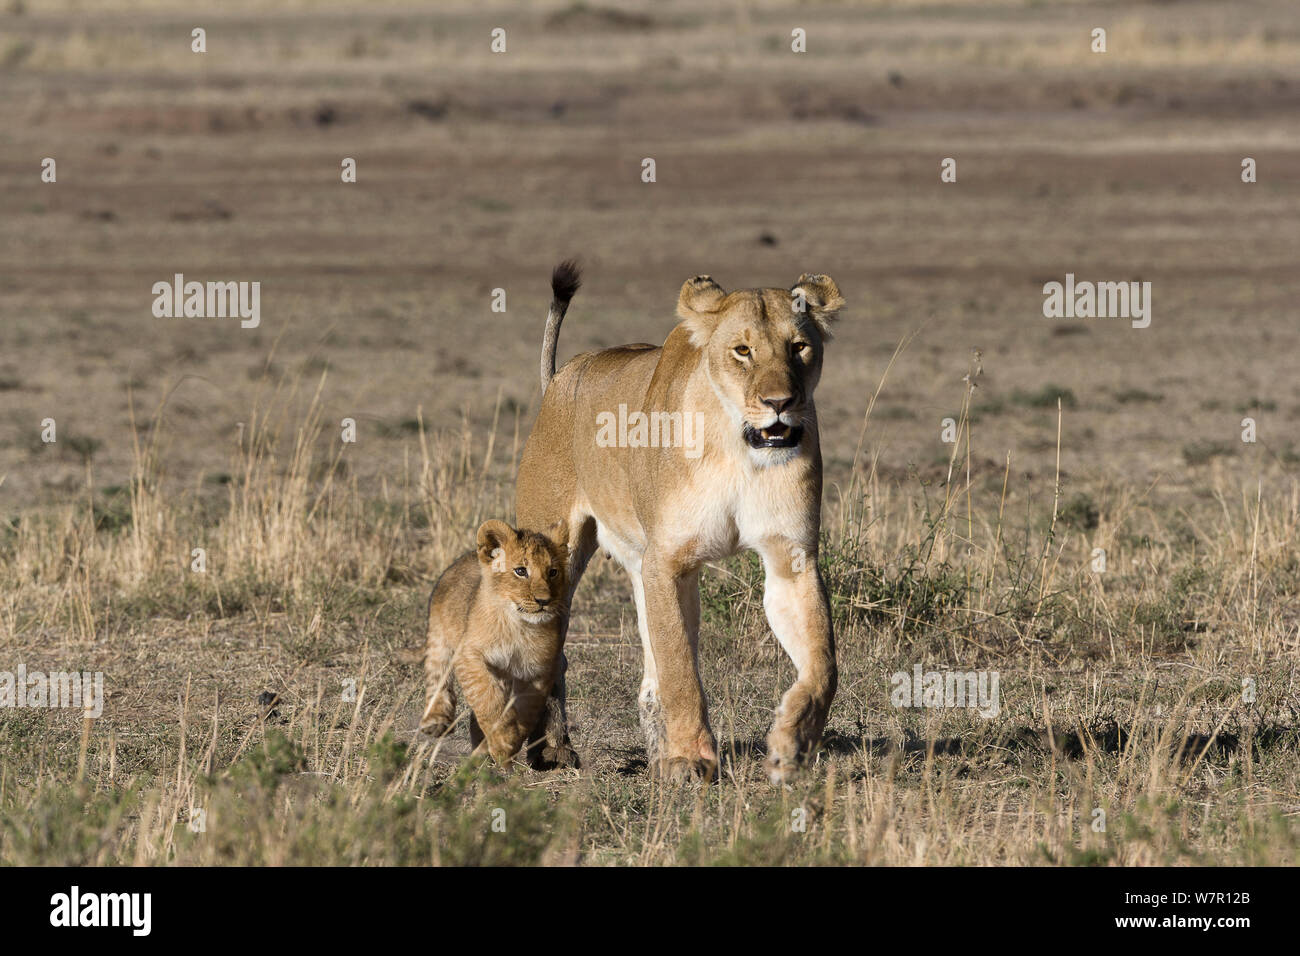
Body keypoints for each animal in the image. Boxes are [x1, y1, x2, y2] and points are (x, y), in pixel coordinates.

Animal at [419, 519, 570, 767]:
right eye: (521, 571)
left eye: (553, 572)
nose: (544, 601)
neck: (519, 627)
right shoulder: (469, 655)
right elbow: (487, 697)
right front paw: (502, 743)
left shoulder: (539, 670)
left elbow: (527, 708)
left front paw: (509, 741)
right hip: (439, 636)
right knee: (437, 674)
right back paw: (436, 720)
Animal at [515, 261, 843, 783]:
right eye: (743, 351)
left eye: (799, 347)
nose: (780, 402)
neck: (739, 449)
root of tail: (563, 374)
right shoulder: (668, 561)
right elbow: (680, 670)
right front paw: (690, 758)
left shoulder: (791, 559)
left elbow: (822, 667)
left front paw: (790, 744)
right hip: (553, 559)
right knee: (551, 653)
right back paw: (554, 750)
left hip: (636, 562)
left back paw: (654, 752)